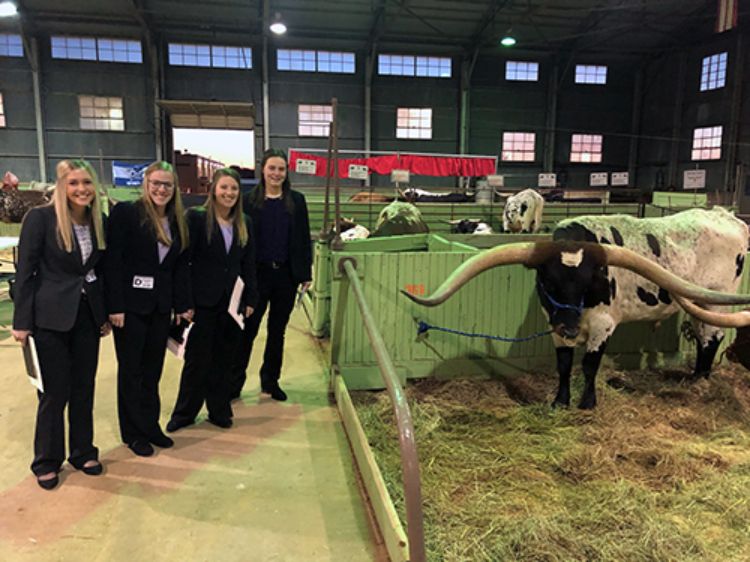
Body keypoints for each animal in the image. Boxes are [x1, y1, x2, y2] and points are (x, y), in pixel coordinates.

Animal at [406, 206, 750, 406]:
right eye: (548, 280)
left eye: (590, 281)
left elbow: (589, 364)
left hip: (716, 299)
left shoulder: (603, 325)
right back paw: (696, 377)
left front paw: (587, 403)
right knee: (705, 336)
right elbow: (564, 363)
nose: (571, 328)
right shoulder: (553, 321)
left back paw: (701, 380)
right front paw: (561, 401)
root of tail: (728, 216)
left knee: (712, 337)